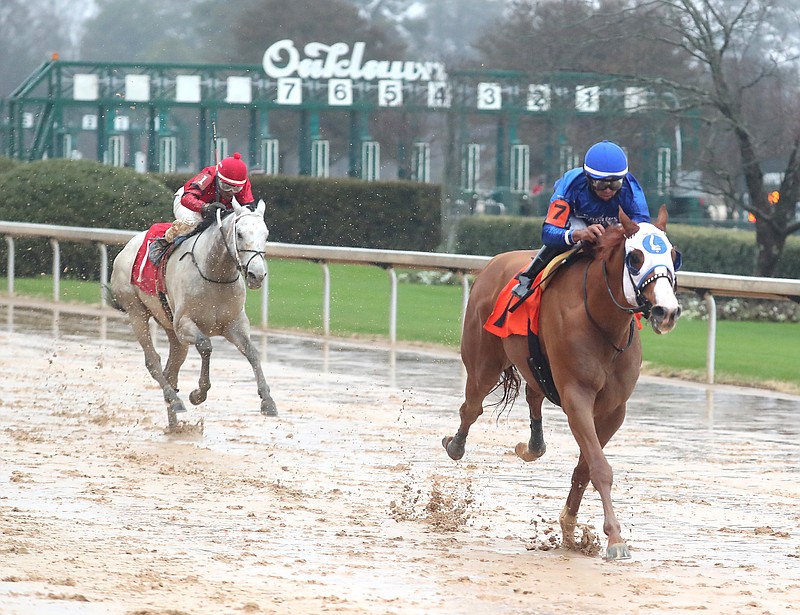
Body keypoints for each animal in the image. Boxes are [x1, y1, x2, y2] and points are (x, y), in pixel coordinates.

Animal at [109, 201, 278, 428]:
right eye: (240, 234)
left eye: (266, 234)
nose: (256, 275)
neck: (215, 275)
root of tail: (126, 248)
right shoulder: (184, 324)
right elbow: (205, 345)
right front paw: (198, 394)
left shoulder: (234, 324)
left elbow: (252, 352)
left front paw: (267, 401)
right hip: (136, 311)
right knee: (153, 361)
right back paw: (175, 400)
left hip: (170, 328)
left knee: (171, 370)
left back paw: (174, 422)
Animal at [444, 206, 680, 560]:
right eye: (635, 257)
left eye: (674, 255)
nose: (667, 311)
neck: (603, 322)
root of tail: (495, 262)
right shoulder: (576, 396)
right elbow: (600, 467)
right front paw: (615, 540)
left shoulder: (614, 409)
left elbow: (586, 467)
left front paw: (571, 529)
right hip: (483, 361)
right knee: (471, 407)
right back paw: (456, 444)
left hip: (532, 365)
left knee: (532, 395)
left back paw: (532, 446)